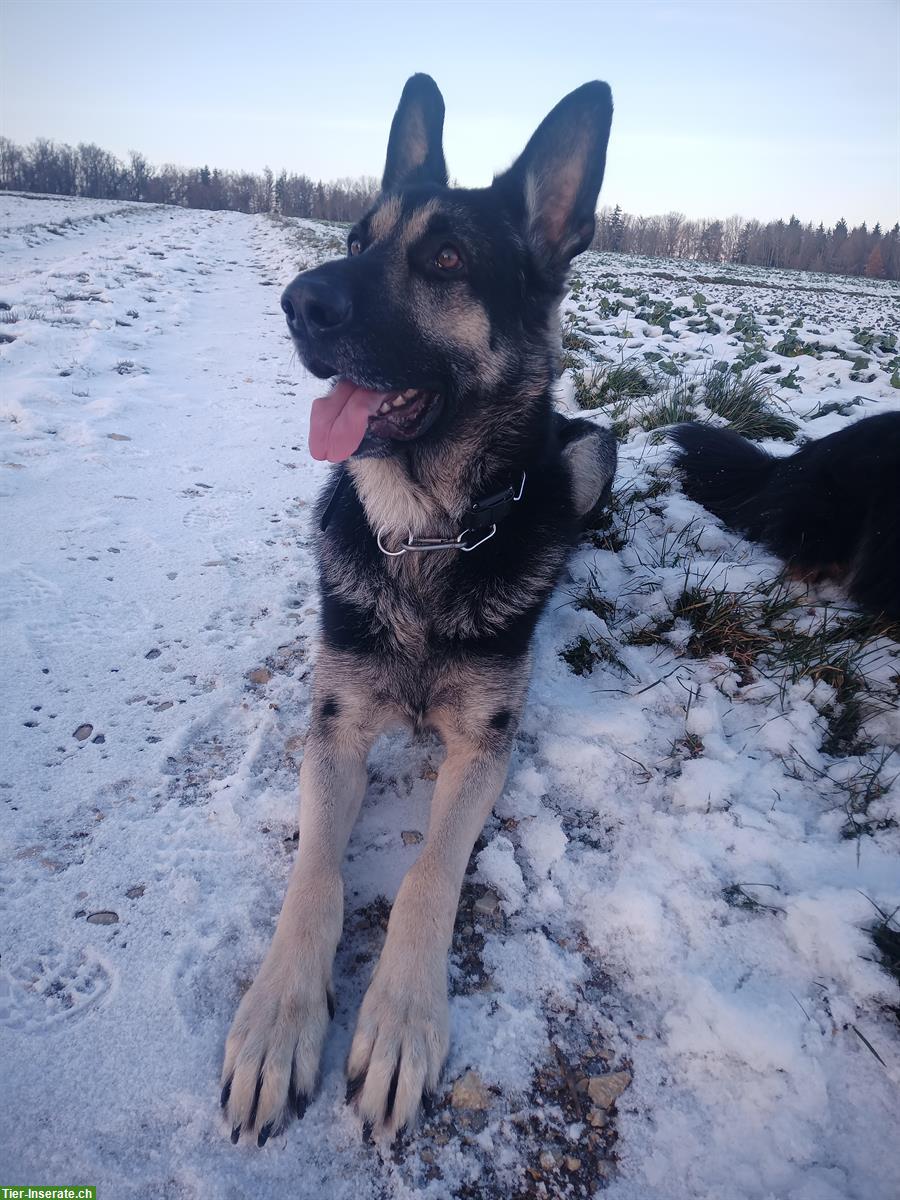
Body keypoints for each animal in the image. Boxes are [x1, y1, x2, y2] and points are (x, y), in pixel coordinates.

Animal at [220, 72, 619, 1142]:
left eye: (446, 258)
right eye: (358, 239)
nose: (297, 302)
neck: (426, 539)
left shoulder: (484, 742)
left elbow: (425, 878)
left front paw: (400, 1021)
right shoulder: (335, 724)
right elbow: (314, 872)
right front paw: (278, 1018)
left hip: (587, 448)